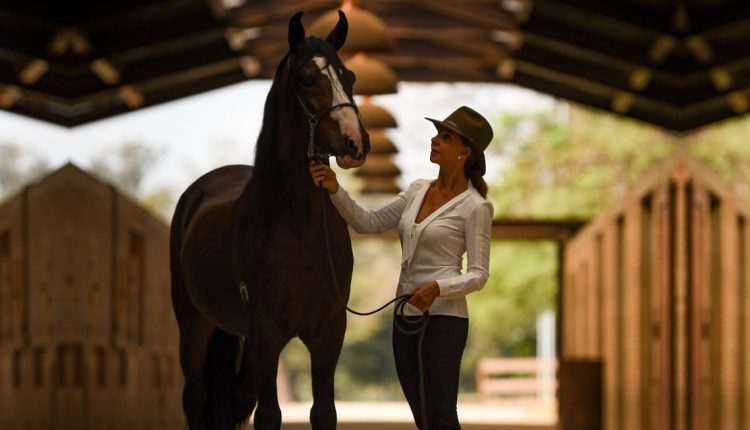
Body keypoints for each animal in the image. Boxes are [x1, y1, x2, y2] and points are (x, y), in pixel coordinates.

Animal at [170, 12, 370, 430]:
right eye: (308, 79)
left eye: (350, 77)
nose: (355, 143)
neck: (297, 229)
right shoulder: (265, 333)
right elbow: (269, 416)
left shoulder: (328, 333)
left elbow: (323, 413)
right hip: (194, 325)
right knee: (195, 398)